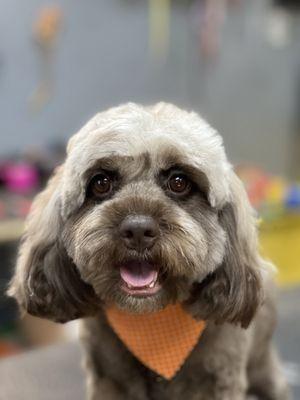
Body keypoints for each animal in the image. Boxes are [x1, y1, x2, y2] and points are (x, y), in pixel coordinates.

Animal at [8, 104, 290, 400]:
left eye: (179, 181)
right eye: (101, 182)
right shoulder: (108, 380)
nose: (138, 230)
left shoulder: (220, 380)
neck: (153, 326)